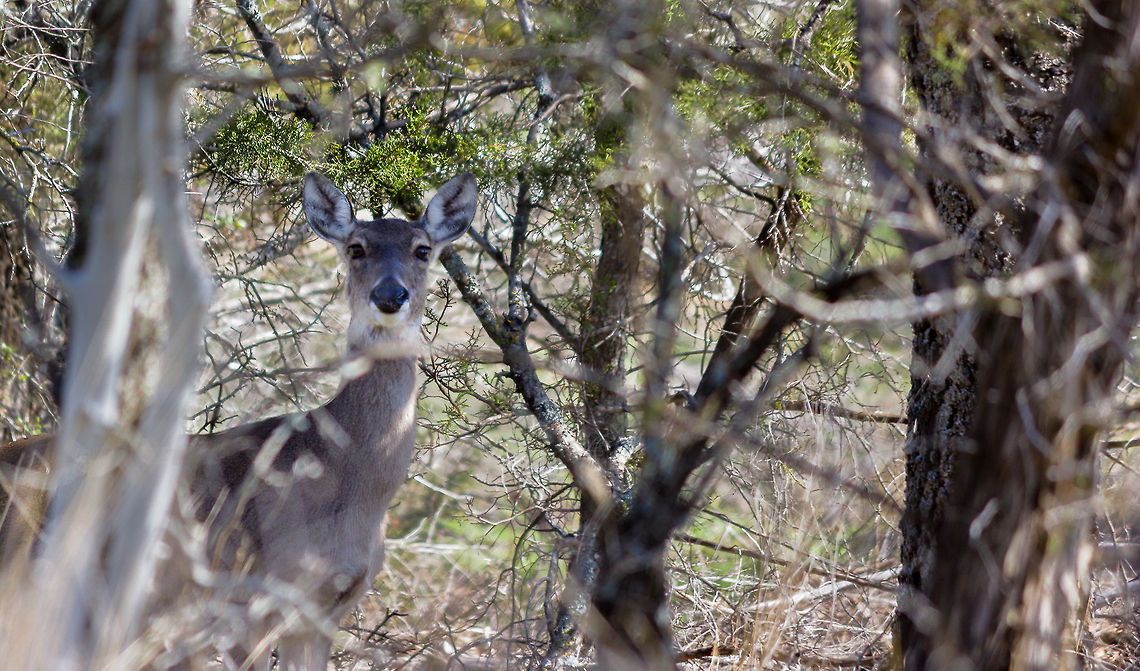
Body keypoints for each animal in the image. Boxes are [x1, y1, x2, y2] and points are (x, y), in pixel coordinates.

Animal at [0, 171, 477, 670]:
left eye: (422, 249)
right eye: (356, 248)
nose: (389, 296)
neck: (342, 476)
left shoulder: (324, 613)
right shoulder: (245, 602)